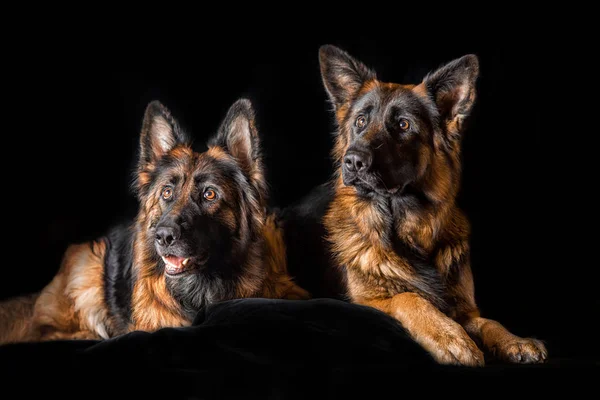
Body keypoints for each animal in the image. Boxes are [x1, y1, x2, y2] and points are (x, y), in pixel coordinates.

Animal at [0, 97, 308, 344]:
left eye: (209, 194)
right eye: (167, 192)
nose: (164, 236)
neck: (200, 291)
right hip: (87, 262)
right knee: (45, 329)